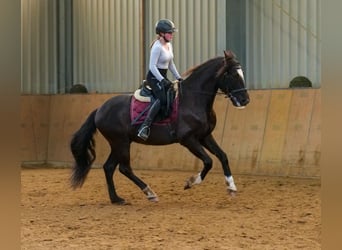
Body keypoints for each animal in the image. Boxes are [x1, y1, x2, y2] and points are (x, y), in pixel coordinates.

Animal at [71, 49, 250, 205]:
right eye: (233, 74)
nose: (245, 100)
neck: (194, 99)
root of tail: (100, 109)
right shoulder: (188, 140)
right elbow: (208, 161)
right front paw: (190, 182)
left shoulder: (204, 136)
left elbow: (223, 156)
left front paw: (231, 187)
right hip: (120, 142)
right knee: (124, 168)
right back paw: (149, 193)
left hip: (121, 143)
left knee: (109, 167)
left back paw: (116, 199)